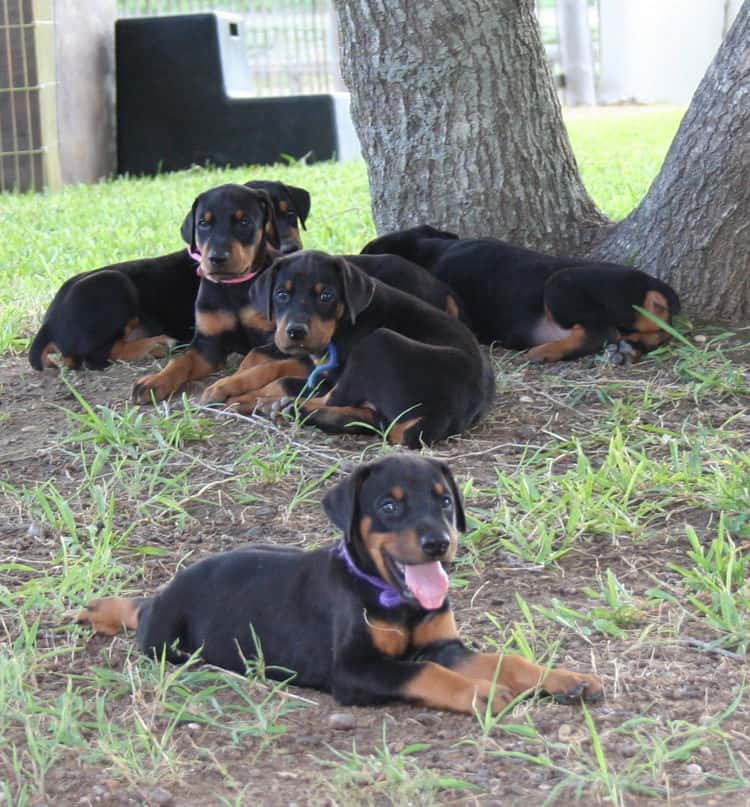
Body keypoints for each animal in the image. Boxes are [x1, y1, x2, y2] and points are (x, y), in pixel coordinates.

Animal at [28, 181, 312, 372]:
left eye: (290, 214)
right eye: (203, 224)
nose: (291, 250)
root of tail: (48, 322)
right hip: (113, 283)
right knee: (93, 357)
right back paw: (154, 345)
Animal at [78, 454, 604, 712]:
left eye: (445, 501)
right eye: (390, 506)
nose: (439, 543)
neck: (393, 597)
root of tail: (165, 592)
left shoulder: (444, 645)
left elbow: (505, 661)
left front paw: (566, 679)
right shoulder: (354, 670)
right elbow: (424, 673)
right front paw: (481, 694)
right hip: (165, 643)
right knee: (141, 616)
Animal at [201, 251, 494, 448]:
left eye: (326, 296)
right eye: (281, 295)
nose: (296, 332)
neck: (341, 325)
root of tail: (442, 413)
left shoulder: (331, 374)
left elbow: (283, 380)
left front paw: (242, 397)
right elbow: (271, 369)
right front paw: (222, 387)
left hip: (378, 343)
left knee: (336, 400)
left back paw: (274, 406)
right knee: (372, 419)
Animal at [362, 221, 684, 360]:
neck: (431, 249)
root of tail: (654, 285)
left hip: (560, 283)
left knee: (600, 333)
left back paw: (543, 352)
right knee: (654, 334)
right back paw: (629, 349)